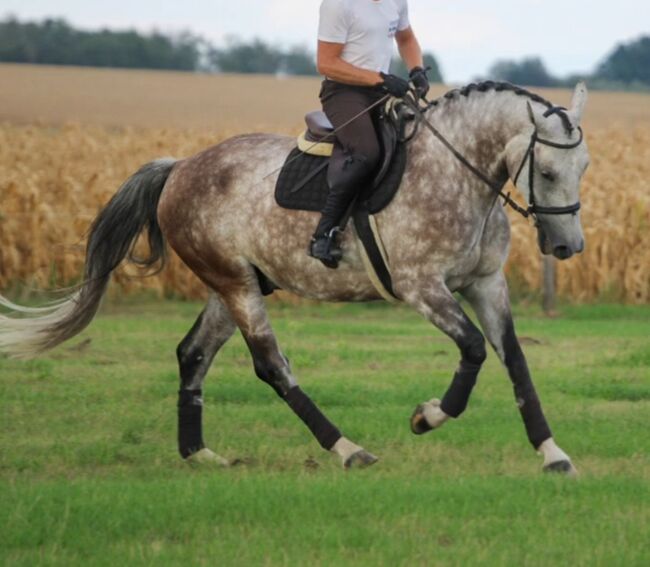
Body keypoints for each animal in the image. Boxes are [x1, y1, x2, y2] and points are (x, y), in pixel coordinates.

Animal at [0, 82, 588, 474]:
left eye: (583, 169)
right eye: (548, 171)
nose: (568, 247)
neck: (457, 175)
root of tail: (180, 166)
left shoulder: (486, 284)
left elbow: (515, 360)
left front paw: (552, 453)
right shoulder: (421, 288)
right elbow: (473, 349)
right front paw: (427, 417)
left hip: (234, 284)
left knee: (193, 354)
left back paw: (199, 453)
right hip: (236, 286)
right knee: (271, 366)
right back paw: (347, 448)